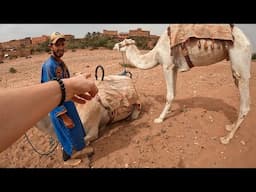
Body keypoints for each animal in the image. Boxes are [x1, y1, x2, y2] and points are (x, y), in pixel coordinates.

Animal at [113, 24, 251, 144]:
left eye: (121, 43)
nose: (114, 46)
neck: (156, 54)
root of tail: (247, 41)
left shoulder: (167, 65)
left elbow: (169, 95)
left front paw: (159, 118)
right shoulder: (174, 67)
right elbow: (173, 93)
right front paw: (168, 112)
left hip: (240, 60)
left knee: (245, 104)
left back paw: (226, 138)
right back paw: (230, 126)